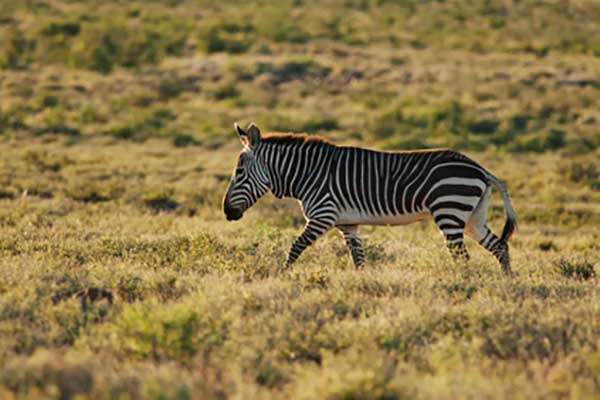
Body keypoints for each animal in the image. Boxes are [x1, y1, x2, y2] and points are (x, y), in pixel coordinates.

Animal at [223, 123, 516, 274]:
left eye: (238, 172)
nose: (227, 212)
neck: (307, 173)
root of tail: (480, 169)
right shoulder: (348, 223)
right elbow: (359, 258)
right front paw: (362, 285)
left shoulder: (323, 216)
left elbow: (295, 247)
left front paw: (282, 275)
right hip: (473, 217)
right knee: (499, 246)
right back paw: (507, 285)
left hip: (449, 211)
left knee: (462, 257)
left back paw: (462, 285)